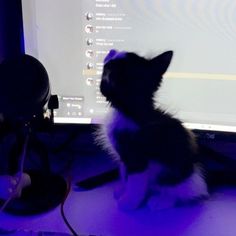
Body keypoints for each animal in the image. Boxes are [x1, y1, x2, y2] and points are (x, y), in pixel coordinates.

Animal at [96, 49, 208, 210]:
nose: (112, 50)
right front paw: (122, 190)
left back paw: (160, 201)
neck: (134, 112)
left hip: (173, 176)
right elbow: (124, 173)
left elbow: (135, 181)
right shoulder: (124, 158)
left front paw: (129, 202)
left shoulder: (137, 157)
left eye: (108, 66)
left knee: (179, 192)